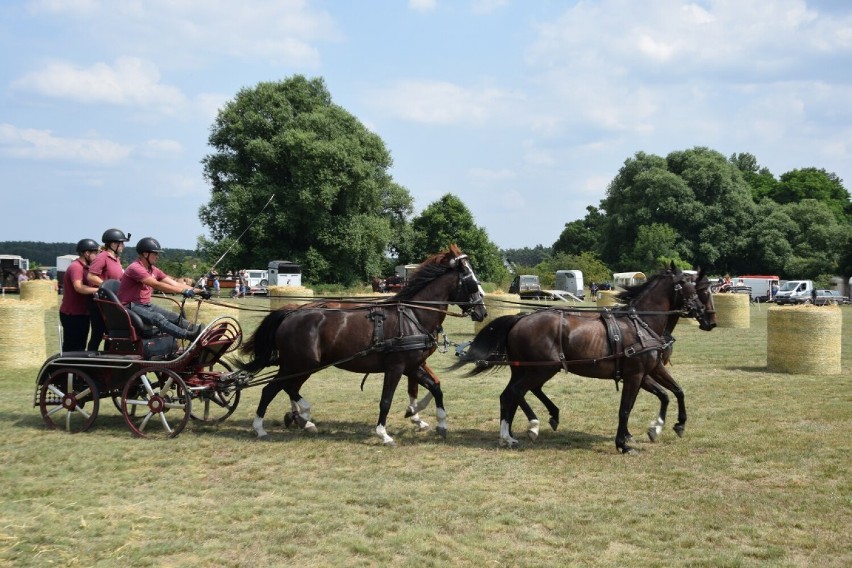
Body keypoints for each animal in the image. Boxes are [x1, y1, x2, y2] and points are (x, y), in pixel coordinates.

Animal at [238, 246, 486, 446]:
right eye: (473, 282)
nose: (482, 311)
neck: (413, 316)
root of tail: (291, 313)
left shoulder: (412, 366)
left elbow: (434, 387)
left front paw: (438, 423)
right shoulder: (396, 367)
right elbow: (386, 400)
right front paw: (384, 433)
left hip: (302, 365)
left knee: (286, 387)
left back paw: (300, 419)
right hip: (299, 364)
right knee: (273, 388)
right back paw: (266, 426)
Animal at [456, 264, 716, 454]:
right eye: (693, 289)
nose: (709, 320)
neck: (642, 323)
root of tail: (520, 319)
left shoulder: (648, 371)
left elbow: (673, 392)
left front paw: (667, 426)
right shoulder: (635, 375)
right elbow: (626, 409)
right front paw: (623, 444)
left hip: (526, 369)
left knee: (510, 395)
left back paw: (514, 433)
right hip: (541, 369)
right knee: (516, 392)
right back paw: (528, 428)